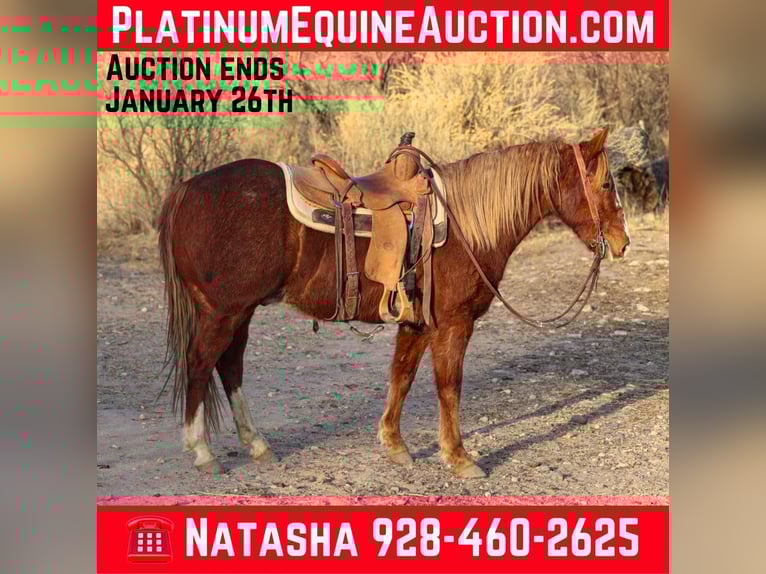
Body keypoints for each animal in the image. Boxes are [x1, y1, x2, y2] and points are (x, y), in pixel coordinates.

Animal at [157, 128, 630, 479]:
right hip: (223, 311)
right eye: (606, 183)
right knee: (201, 364)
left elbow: (401, 377)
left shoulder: (417, 324)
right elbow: (448, 387)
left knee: (229, 366)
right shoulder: (453, 324)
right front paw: (459, 458)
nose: (623, 242)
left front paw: (394, 444)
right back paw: (202, 451)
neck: (466, 224)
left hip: (240, 312)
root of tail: (187, 189)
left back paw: (256, 445)